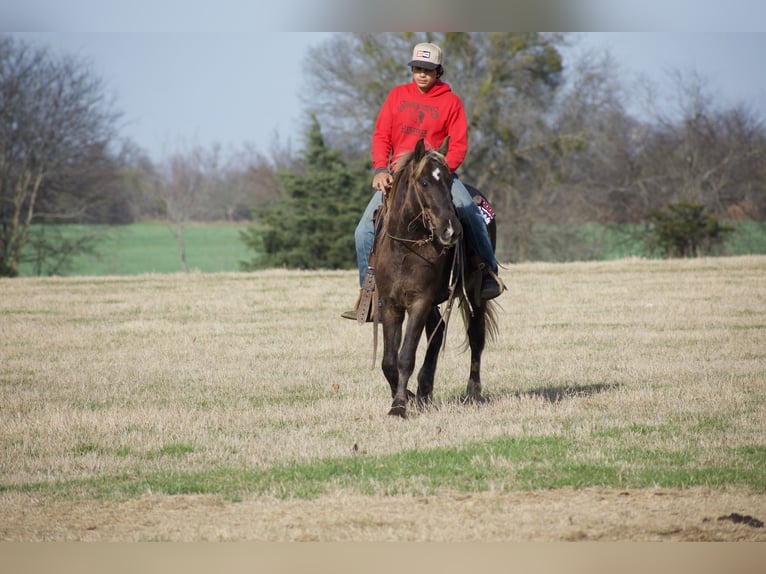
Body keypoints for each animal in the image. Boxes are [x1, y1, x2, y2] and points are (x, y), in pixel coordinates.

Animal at [370, 136, 499, 418]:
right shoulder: (391, 304)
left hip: (475, 295)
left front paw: (399, 406)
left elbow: (406, 356)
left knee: (476, 337)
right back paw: (424, 392)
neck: (406, 248)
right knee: (437, 334)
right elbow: (388, 361)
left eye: (449, 181)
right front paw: (406, 396)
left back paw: (472, 392)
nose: (450, 230)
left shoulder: (420, 302)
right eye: (424, 182)